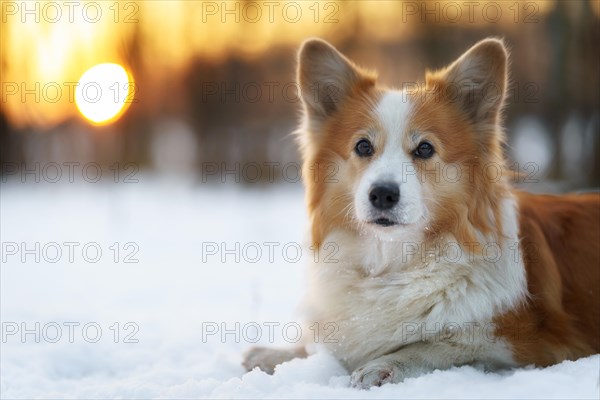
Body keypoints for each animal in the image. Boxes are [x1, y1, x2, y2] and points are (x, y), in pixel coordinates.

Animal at [241, 36, 596, 388]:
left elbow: (446, 343)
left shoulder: (530, 343)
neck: (395, 262)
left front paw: (385, 364)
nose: (382, 194)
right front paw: (276, 354)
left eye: (425, 148)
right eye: (363, 146)